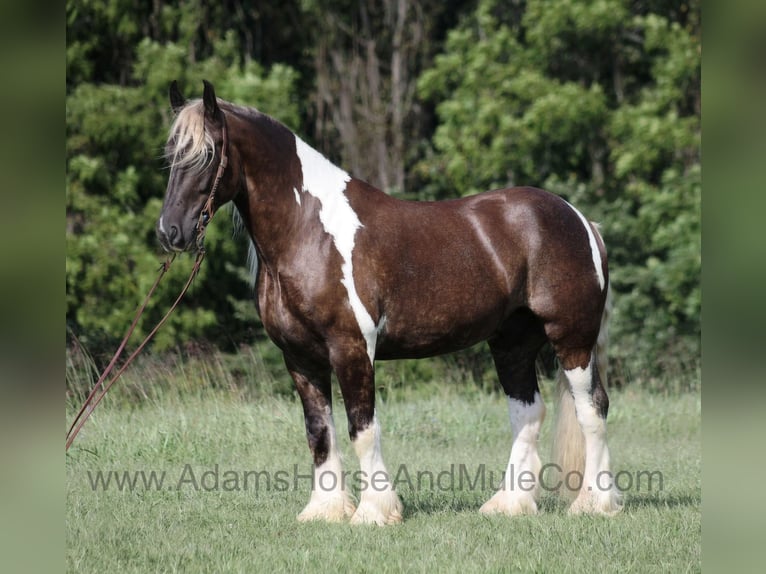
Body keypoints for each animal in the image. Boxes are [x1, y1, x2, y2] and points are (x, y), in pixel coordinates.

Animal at [157, 80, 622, 525]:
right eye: (171, 156)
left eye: (207, 155)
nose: (170, 231)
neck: (309, 231)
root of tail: (580, 219)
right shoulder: (300, 357)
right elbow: (318, 432)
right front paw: (325, 510)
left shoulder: (351, 348)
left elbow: (362, 430)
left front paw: (374, 512)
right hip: (512, 343)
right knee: (527, 413)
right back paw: (509, 504)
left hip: (572, 339)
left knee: (592, 410)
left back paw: (595, 503)